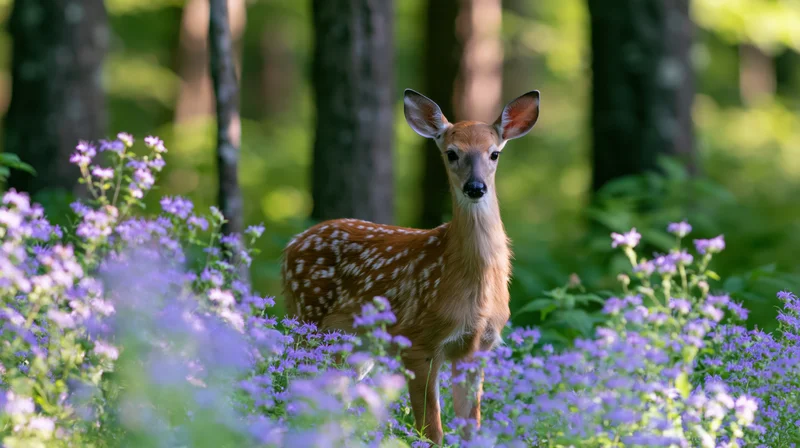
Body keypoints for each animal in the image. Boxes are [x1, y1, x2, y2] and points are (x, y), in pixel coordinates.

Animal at [280, 88, 540, 445]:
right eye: (452, 153)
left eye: (494, 154)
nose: (475, 188)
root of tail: (290, 246)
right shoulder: (418, 340)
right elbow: (432, 430)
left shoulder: (478, 348)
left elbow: (471, 428)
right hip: (307, 317)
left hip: (353, 343)